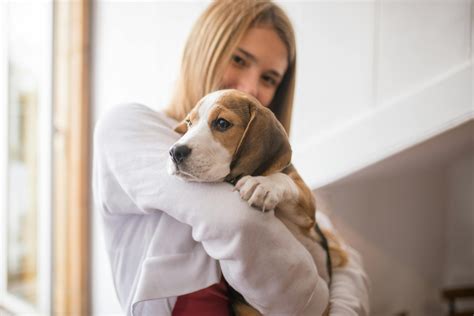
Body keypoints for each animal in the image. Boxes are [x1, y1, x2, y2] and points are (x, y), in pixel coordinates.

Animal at [168, 89, 346, 316]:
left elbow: (283, 178)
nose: (175, 152)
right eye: (189, 123)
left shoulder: (307, 213)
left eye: (222, 123)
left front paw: (263, 184)